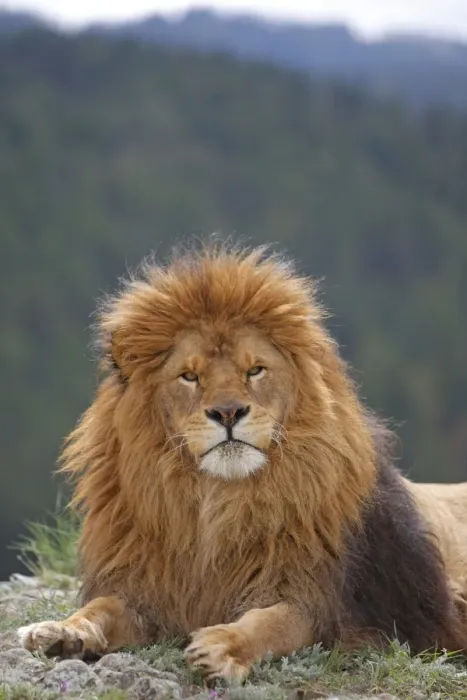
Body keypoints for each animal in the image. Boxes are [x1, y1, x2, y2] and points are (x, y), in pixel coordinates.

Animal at [19, 245, 467, 681]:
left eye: (255, 370)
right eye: (189, 376)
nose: (229, 412)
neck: (218, 503)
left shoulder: (320, 601)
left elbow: (271, 624)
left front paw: (219, 647)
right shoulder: (148, 593)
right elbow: (100, 608)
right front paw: (61, 631)